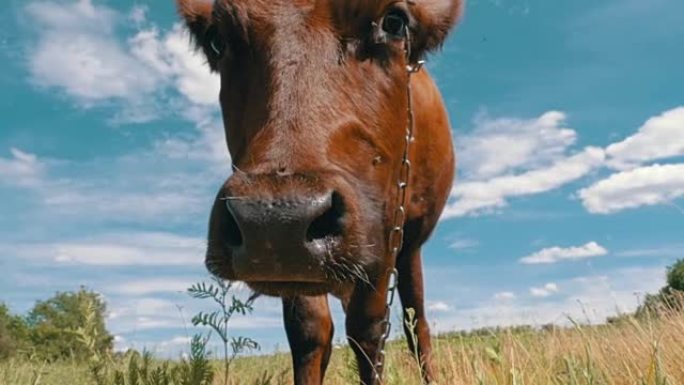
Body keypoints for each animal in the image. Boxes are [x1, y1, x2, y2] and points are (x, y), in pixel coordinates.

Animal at [176, 1, 462, 382]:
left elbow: (369, 330)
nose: (274, 221)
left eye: (394, 22)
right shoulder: (296, 270)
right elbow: (309, 330)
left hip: (410, 243)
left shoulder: (386, 228)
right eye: (216, 40)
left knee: (416, 324)